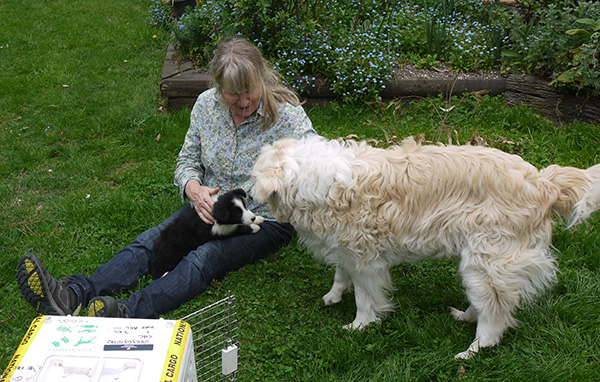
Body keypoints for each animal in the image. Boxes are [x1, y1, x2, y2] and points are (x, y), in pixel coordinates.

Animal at [251, 137, 600, 358]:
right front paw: (334, 295)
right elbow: (340, 273)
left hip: (485, 263)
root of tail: (544, 182)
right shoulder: (347, 248)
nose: (246, 197)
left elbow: (365, 299)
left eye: (253, 176)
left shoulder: (366, 260)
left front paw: (360, 325)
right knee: (487, 305)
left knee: (494, 315)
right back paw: (464, 317)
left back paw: (473, 351)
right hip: (481, 267)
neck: (313, 181)